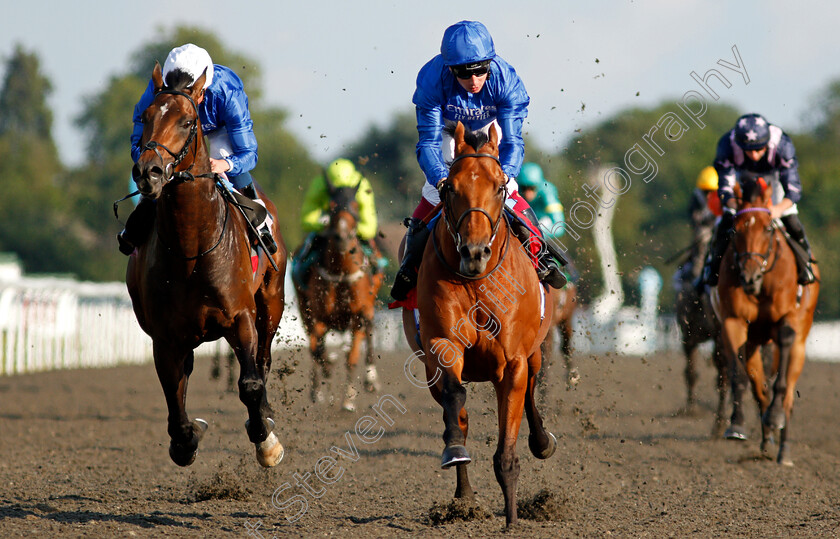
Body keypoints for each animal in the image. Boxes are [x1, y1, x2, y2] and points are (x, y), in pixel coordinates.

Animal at [126, 62, 288, 468]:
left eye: (187, 122)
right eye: (146, 117)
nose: (148, 172)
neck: (191, 249)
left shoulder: (240, 317)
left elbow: (250, 383)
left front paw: (265, 440)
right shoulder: (165, 337)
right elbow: (174, 396)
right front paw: (187, 438)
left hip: (271, 302)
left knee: (263, 360)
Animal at [294, 179, 382, 412]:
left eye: (356, 205)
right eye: (331, 205)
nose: (342, 237)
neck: (341, 272)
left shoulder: (358, 315)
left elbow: (352, 357)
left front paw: (349, 399)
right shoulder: (317, 316)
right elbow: (317, 350)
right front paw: (327, 369)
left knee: (369, 331)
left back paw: (371, 378)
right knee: (314, 347)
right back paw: (317, 389)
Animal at [406, 123, 556, 528]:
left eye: (499, 187)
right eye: (449, 188)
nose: (473, 253)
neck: (476, 281)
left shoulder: (514, 360)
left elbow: (509, 441)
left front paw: (512, 520)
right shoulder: (442, 346)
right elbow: (455, 402)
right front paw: (455, 453)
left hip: (535, 352)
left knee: (531, 394)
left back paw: (541, 441)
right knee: (457, 412)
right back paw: (464, 498)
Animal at [708, 178, 820, 468]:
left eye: (768, 228)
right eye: (734, 228)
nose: (749, 276)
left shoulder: (787, 321)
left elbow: (782, 382)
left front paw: (775, 416)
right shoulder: (733, 321)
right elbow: (739, 376)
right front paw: (736, 425)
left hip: (800, 343)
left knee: (788, 393)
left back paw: (784, 449)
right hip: (754, 344)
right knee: (760, 389)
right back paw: (767, 440)